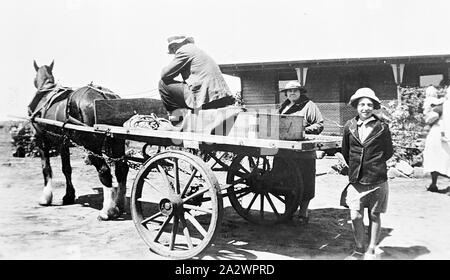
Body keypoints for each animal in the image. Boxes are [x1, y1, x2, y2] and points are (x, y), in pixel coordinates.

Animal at [29, 60, 129, 220]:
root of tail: (105, 96)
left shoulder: (41, 140)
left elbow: (46, 169)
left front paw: (46, 198)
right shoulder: (63, 143)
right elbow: (66, 169)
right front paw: (69, 196)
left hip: (91, 145)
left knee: (104, 170)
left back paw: (108, 210)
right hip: (116, 142)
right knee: (121, 169)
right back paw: (119, 204)